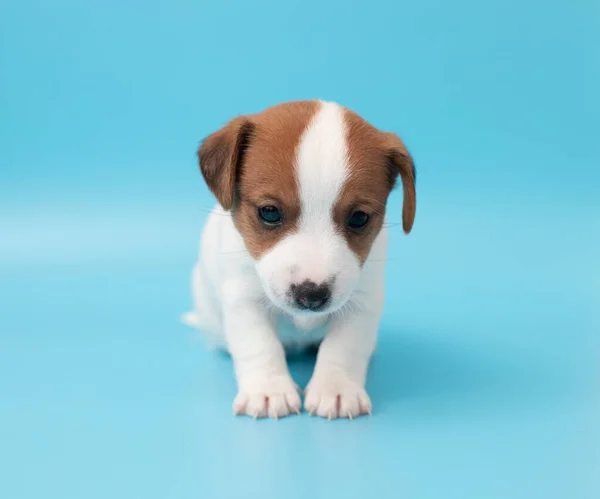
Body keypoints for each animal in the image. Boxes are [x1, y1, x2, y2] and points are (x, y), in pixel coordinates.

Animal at [184, 99, 418, 420]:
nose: (312, 295)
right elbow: (259, 344)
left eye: (359, 218)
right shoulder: (244, 300)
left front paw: (336, 388)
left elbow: (344, 347)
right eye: (269, 212)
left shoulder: (360, 303)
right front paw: (268, 390)